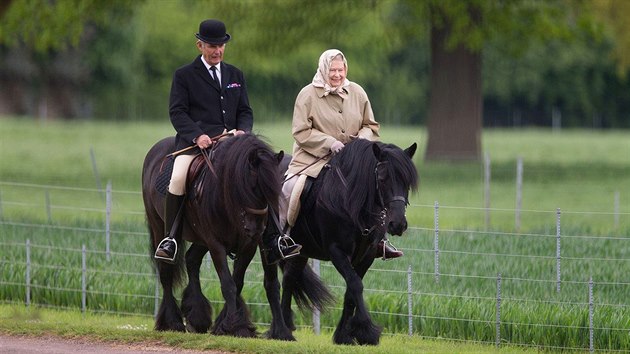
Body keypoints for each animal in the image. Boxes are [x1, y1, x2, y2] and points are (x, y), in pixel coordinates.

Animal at [143, 133, 294, 340]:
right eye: (251, 185)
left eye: (275, 191)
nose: (257, 229)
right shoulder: (216, 244)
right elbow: (228, 284)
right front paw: (232, 325)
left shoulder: (248, 245)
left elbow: (237, 282)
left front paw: (233, 326)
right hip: (160, 227)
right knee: (166, 272)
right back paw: (173, 322)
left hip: (201, 239)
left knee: (191, 259)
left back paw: (197, 317)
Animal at [282, 139, 420, 346]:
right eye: (382, 178)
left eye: (407, 182)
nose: (398, 224)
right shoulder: (337, 251)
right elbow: (355, 285)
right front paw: (366, 331)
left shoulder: (366, 255)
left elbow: (351, 291)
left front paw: (344, 335)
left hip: (300, 252)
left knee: (289, 279)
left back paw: (284, 328)